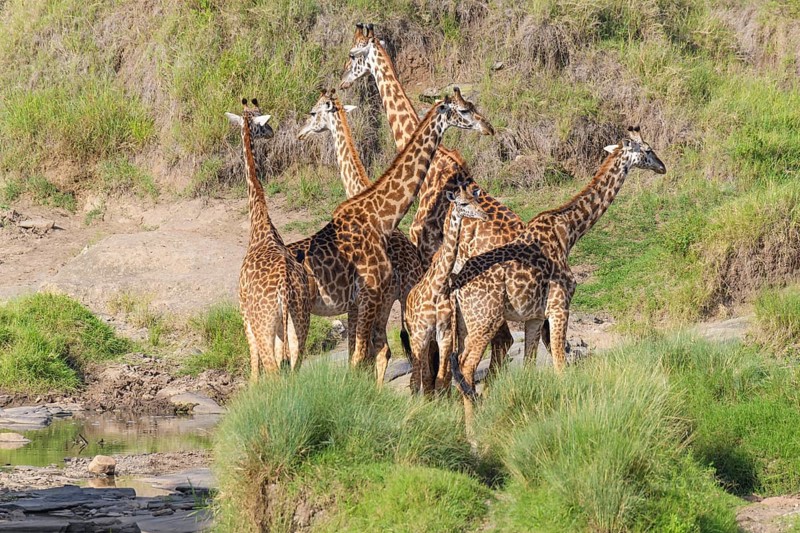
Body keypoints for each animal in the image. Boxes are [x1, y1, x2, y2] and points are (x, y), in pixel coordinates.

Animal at [226, 98, 312, 381]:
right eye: (262, 122)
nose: (272, 132)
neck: (260, 224)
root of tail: (284, 291)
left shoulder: (243, 311)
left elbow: (253, 365)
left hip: (264, 323)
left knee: (272, 369)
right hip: (299, 321)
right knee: (293, 365)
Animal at [405, 173, 487, 396]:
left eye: (477, 199)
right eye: (463, 203)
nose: (484, 215)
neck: (438, 288)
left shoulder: (444, 334)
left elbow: (441, 380)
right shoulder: (421, 335)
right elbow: (418, 380)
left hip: (431, 340)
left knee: (428, 376)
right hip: (415, 337)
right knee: (418, 377)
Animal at [449, 127, 666, 423]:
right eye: (647, 149)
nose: (662, 167)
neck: (569, 231)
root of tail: (456, 286)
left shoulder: (534, 316)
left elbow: (529, 366)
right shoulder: (560, 306)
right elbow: (560, 365)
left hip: (463, 322)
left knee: (458, 368)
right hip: (485, 320)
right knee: (467, 366)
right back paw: (473, 429)